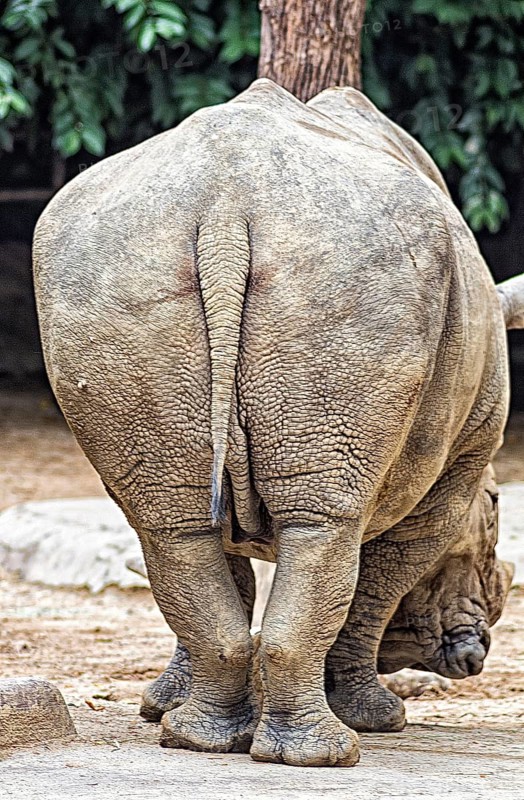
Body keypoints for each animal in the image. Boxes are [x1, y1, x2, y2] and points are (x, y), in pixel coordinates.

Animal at [33, 79, 524, 767]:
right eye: (497, 508)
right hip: (349, 269)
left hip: (108, 271)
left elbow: (228, 572)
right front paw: (380, 718)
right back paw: (327, 755)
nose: (476, 651)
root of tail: (224, 206)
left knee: (175, 526)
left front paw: (163, 707)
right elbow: (377, 584)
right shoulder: (456, 469)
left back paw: (197, 740)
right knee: (325, 527)